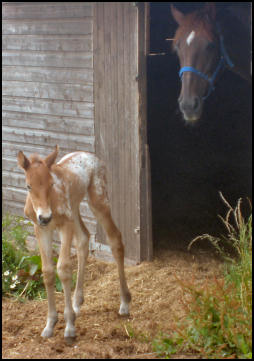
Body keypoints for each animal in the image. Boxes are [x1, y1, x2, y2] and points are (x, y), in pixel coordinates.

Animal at [17, 144, 131, 338]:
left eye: (51, 184)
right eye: (28, 186)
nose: (45, 217)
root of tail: (91, 155)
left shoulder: (65, 224)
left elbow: (63, 268)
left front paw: (69, 326)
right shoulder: (40, 228)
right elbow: (47, 271)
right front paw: (50, 324)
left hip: (98, 200)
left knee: (115, 239)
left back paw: (124, 303)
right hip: (76, 208)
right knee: (84, 239)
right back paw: (77, 303)